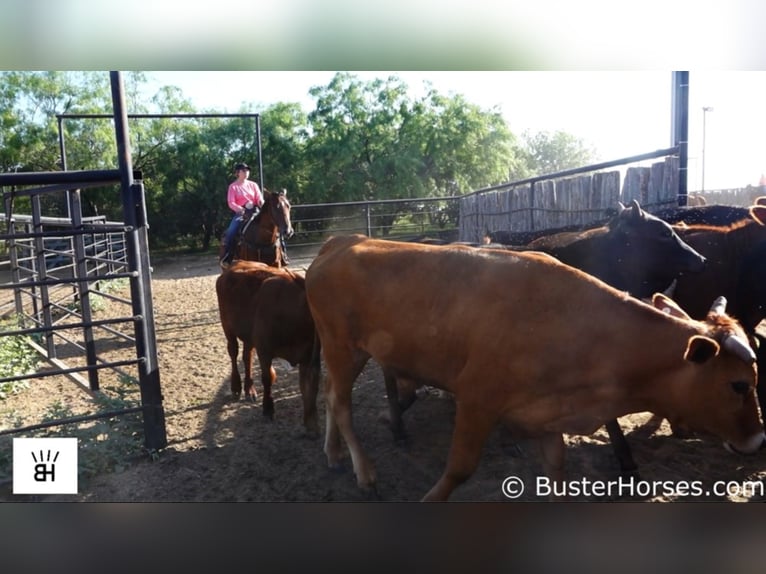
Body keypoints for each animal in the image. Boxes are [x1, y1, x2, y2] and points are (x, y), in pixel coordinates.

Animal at [216, 262, 320, 436]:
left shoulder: (309, 357)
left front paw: (311, 424)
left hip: (249, 336)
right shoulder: (264, 350)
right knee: (233, 352)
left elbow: (309, 387)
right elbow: (268, 378)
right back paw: (236, 387)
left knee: (247, 356)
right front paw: (268, 408)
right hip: (227, 327)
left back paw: (249, 389)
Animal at [304, 236, 760, 502]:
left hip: (343, 350)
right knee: (341, 404)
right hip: (343, 347)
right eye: (738, 385)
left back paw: (332, 453)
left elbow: (556, 472)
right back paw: (364, 472)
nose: (758, 440)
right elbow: (459, 469)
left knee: (329, 395)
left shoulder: (548, 414)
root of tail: (342, 242)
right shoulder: (476, 398)